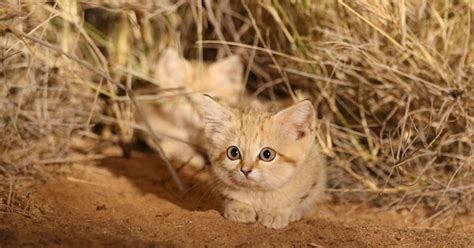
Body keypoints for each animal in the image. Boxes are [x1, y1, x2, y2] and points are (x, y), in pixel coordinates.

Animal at [204, 95, 326, 229]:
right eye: (233, 153)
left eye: (267, 154)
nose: (245, 170)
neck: (259, 193)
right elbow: (230, 197)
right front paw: (239, 208)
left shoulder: (313, 176)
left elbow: (295, 200)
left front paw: (277, 212)